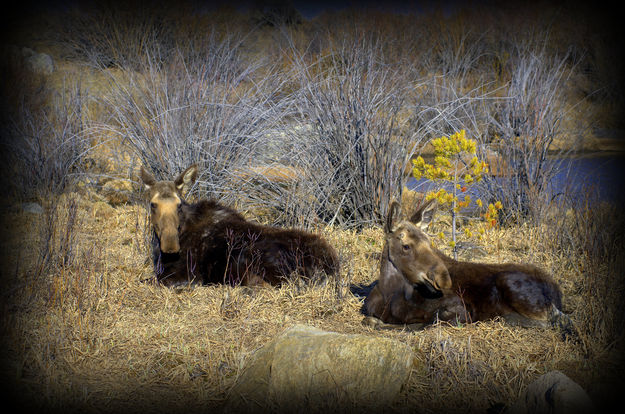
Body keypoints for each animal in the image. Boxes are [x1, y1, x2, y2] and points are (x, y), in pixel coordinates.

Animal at [364, 197, 572, 334]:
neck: (390, 293)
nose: (443, 278)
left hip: (511, 283)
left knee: (558, 321)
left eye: (429, 243)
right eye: (406, 246)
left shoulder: (461, 310)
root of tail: (557, 294)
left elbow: (422, 324)